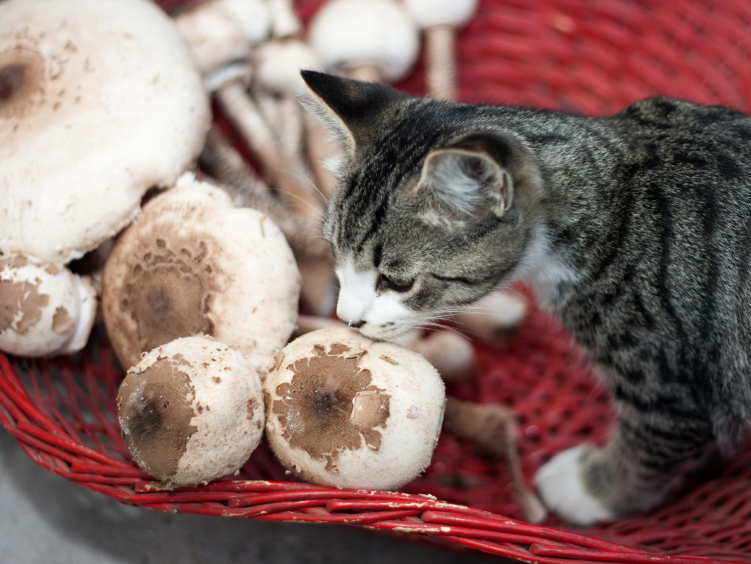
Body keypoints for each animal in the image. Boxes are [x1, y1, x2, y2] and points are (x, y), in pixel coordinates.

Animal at [298, 69, 751, 524]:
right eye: (336, 254)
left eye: (397, 281)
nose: (347, 318)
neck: (612, 206)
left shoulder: (671, 387)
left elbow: (649, 454)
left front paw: (587, 492)